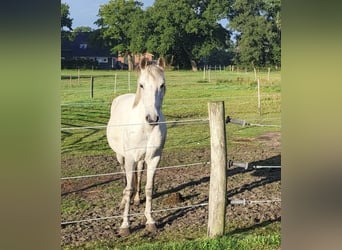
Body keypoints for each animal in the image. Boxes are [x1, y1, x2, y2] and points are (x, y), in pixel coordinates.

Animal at [106, 57, 166, 236]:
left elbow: (149, 187)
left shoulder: (154, 158)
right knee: (125, 179)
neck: (145, 128)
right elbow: (129, 187)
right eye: (141, 85)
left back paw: (137, 199)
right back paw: (123, 201)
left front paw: (150, 221)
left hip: (140, 159)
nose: (152, 118)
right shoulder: (130, 158)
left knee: (138, 174)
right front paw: (125, 225)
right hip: (121, 157)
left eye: (162, 85)